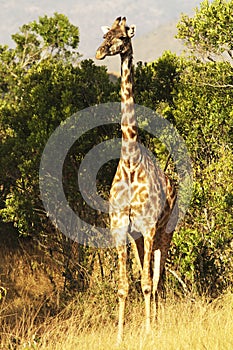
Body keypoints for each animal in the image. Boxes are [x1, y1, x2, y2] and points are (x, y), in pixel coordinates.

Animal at [94, 17, 177, 344]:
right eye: (105, 34)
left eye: (121, 38)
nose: (99, 52)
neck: (130, 160)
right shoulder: (121, 228)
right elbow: (123, 286)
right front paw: (119, 336)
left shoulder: (150, 225)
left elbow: (146, 283)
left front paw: (148, 331)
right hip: (141, 237)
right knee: (148, 275)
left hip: (164, 231)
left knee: (157, 278)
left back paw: (157, 322)